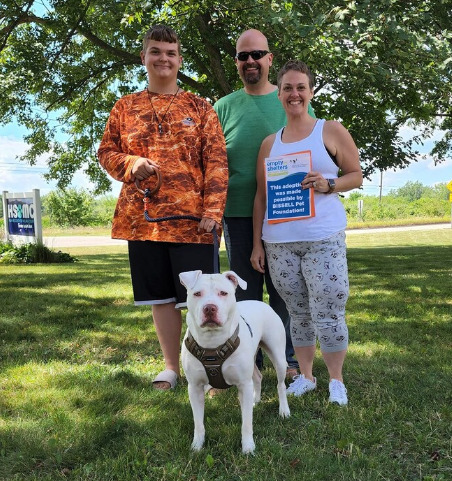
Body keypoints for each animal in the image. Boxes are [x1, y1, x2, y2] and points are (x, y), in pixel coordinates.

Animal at [179, 270, 290, 454]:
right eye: (197, 294)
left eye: (223, 293)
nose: (210, 308)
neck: (212, 342)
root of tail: (261, 302)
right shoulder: (194, 388)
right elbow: (198, 422)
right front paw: (197, 446)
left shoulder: (243, 385)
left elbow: (246, 423)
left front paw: (248, 447)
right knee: (258, 377)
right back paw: (255, 401)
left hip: (278, 357)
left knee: (280, 385)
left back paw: (284, 411)